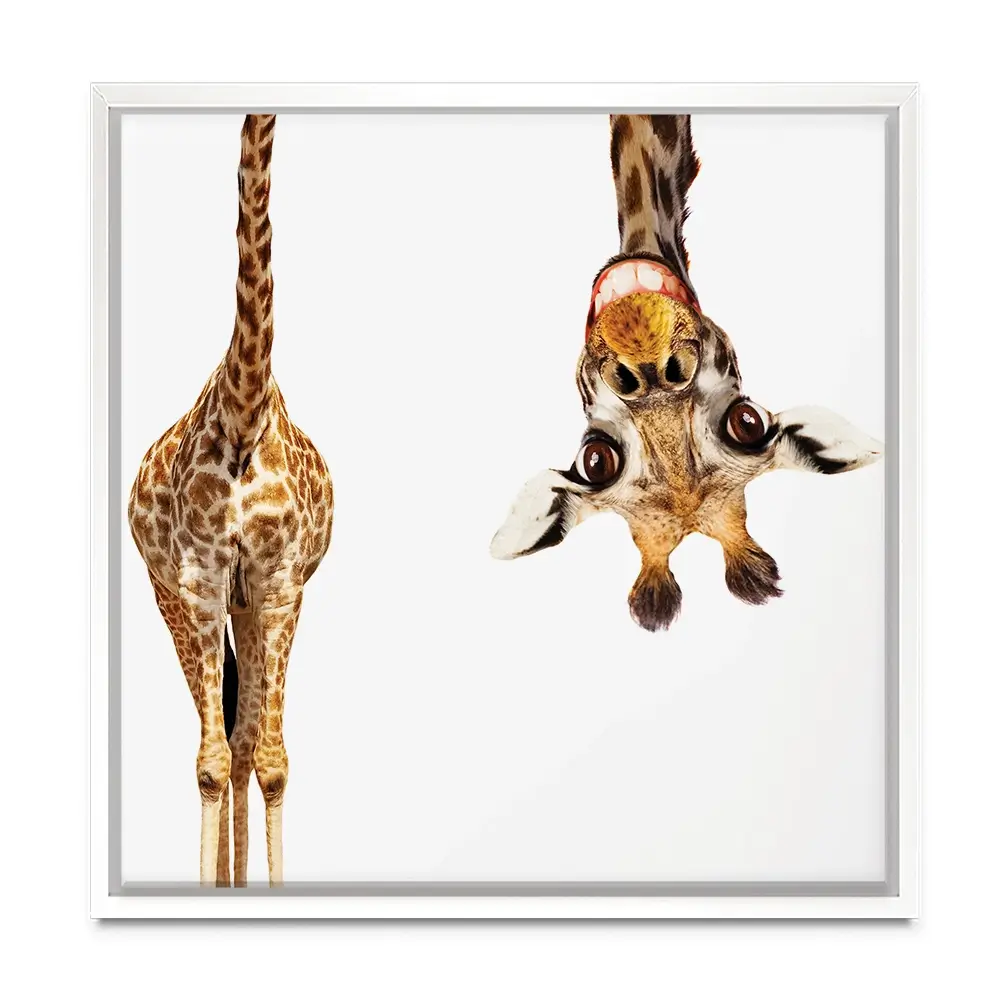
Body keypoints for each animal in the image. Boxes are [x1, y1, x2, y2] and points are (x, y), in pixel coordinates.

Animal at [128, 114, 334, 886]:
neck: (244, 413)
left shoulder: (278, 585)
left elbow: (268, 761)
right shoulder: (198, 582)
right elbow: (210, 763)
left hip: (249, 607)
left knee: (245, 742)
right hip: (173, 599)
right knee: (216, 740)